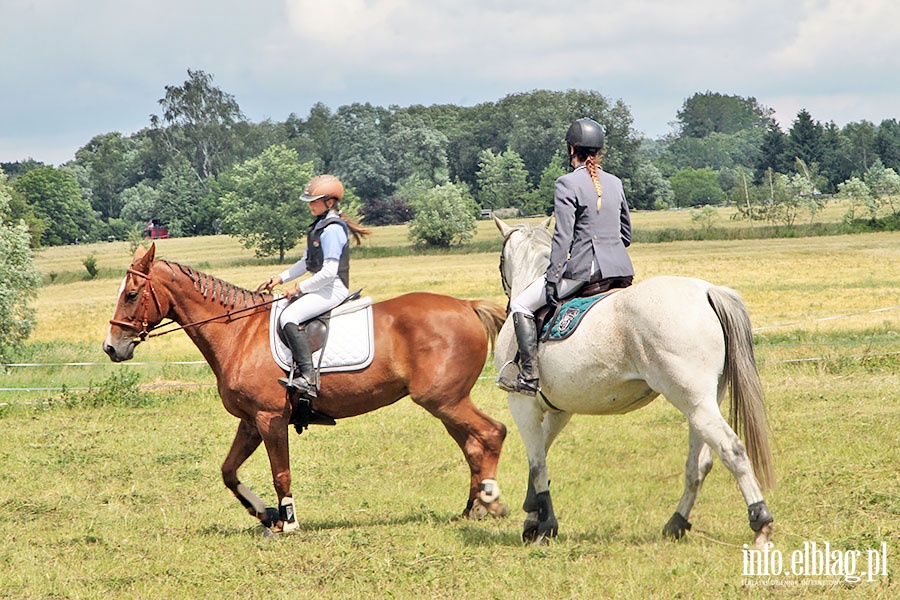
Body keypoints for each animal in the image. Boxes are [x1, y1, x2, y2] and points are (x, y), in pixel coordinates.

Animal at [103, 246, 510, 532]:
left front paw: (288, 520)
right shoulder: (250, 422)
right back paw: (472, 508)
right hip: (446, 404)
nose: (111, 348)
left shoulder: (269, 418)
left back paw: (491, 500)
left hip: (444, 400)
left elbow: (280, 472)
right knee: (474, 446)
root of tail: (466, 306)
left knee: (492, 432)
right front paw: (265, 513)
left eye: (132, 294)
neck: (239, 332)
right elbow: (228, 471)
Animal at [492, 217, 772, 548]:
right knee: (699, 464)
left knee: (732, 450)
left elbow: (537, 463)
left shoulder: (522, 404)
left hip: (693, 401)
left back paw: (760, 522)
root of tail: (706, 291)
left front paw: (545, 525)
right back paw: (676, 523)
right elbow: (540, 459)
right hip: (703, 403)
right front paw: (532, 517)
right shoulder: (559, 409)